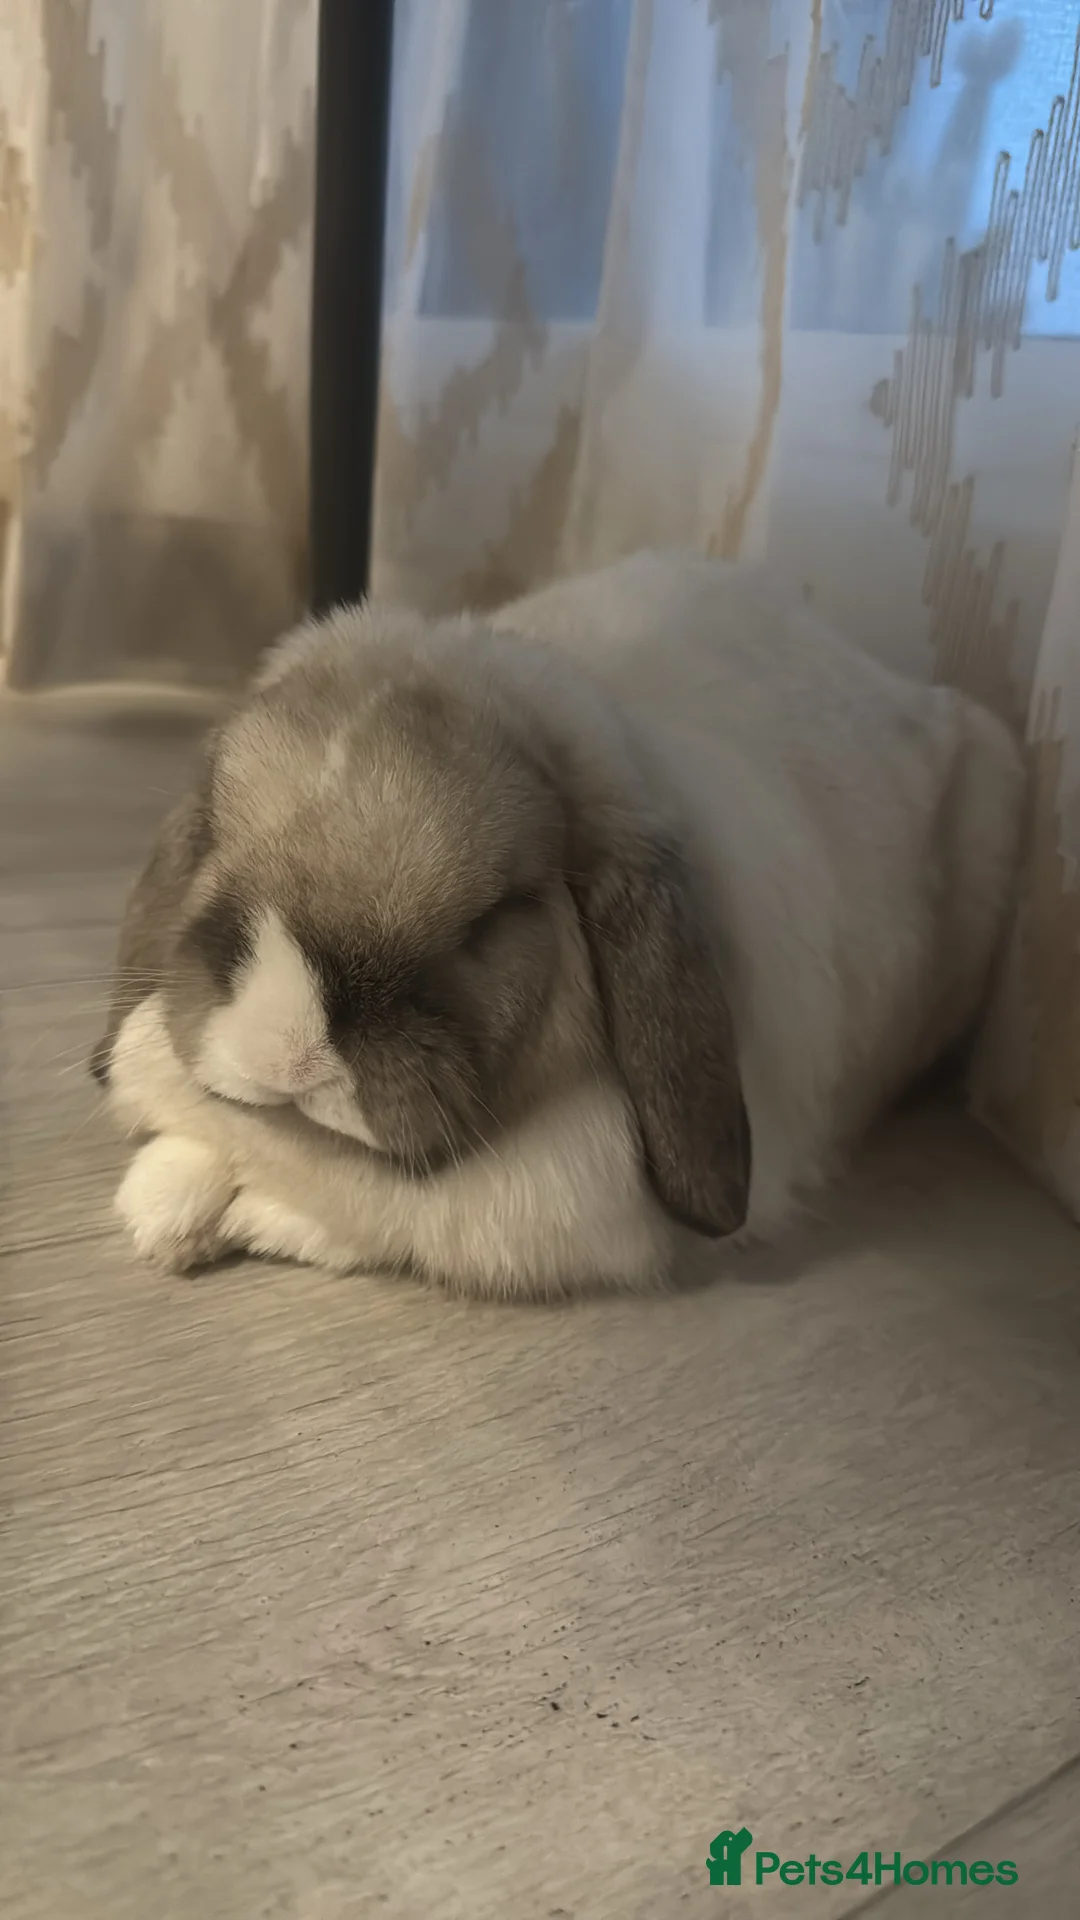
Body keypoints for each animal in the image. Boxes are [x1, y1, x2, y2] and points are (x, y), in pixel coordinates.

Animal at [91, 549, 1024, 1300]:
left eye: (497, 914)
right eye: (216, 832)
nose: (291, 1053)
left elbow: (381, 1216)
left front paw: (238, 1214)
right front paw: (163, 1204)